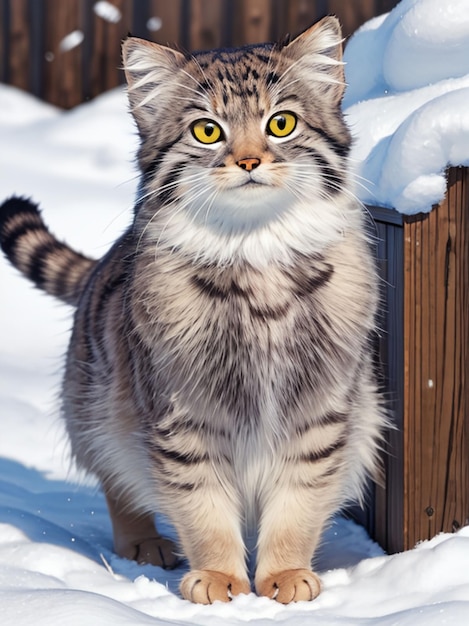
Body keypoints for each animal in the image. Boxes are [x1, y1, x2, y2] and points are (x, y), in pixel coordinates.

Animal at [0, 17, 384, 604]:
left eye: (281, 123)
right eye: (207, 131)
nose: (248, 161)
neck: (255, 254)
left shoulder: (320, 413)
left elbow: (296, 505)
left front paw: (284, 576)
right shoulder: (181, 416)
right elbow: (203, 509)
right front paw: (221, 579)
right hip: (96, 409)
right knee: (116, 480)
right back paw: (143, 543)